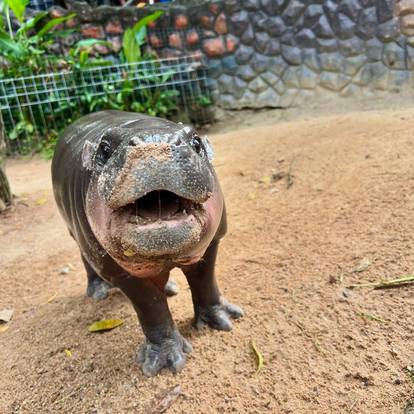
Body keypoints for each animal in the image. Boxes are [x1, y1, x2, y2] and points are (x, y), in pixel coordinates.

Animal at [51, 110, 243, 376]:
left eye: (196, 142)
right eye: (104, 149)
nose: (154, 145)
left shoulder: (213, 241)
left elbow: (205, 282)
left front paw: (225, 321)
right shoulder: (121, 273)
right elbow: (151, 307)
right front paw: (165, 362)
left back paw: (170, 287)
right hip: (77, 235)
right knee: (86, 261)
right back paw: (98, 293)